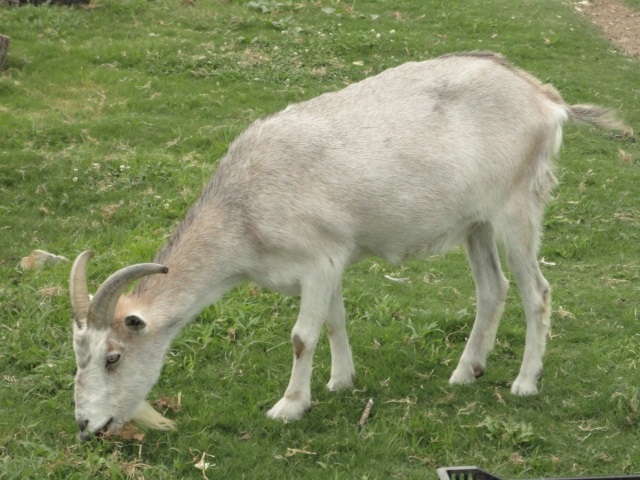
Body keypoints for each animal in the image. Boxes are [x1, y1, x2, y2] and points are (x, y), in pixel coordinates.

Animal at [67, 51, 628, 438]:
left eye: (113, 356)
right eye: (80, 353)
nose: (86, 424)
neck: (244, 209)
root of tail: (547, 100)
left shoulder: (318, 260)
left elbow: (301, 336)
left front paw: (290, 406)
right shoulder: (331, 261)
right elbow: (335, 320)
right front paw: (342, 382)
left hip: (517, 209)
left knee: (537, 292)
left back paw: (524, 382)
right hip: (476, 224)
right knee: (493, 290)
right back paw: (465, 373)